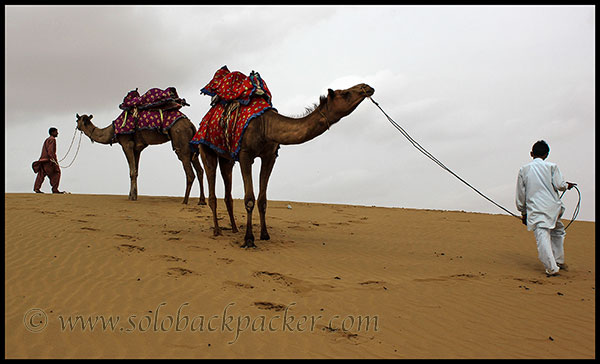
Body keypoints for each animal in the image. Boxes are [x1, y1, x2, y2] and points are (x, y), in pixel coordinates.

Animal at [75, 114, 206, 205]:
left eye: (78, 120)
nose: (77, 127)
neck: (112, 132)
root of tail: (191, 125)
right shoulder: (137, 149)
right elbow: (136, 172)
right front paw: (133, 195)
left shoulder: (126, 144)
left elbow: (132, 172)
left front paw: (132, 197)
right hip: (193, 145)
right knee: (200, 170)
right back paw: (201, 201)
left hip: (181, 142)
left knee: (190, 172)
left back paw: (184, 201)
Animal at [199, 83, 372, 247]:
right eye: (345, 93)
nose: (367, 87)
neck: (266, 125)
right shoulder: (244, 154)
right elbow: (249, 199)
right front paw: (249, 239)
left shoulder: (270, 157)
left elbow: (262, 200)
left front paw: (265, 235)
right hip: (206, 149)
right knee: (211, 184)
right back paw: (217, 231)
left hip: (226, 158)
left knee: (227, 190)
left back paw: (234, 229)